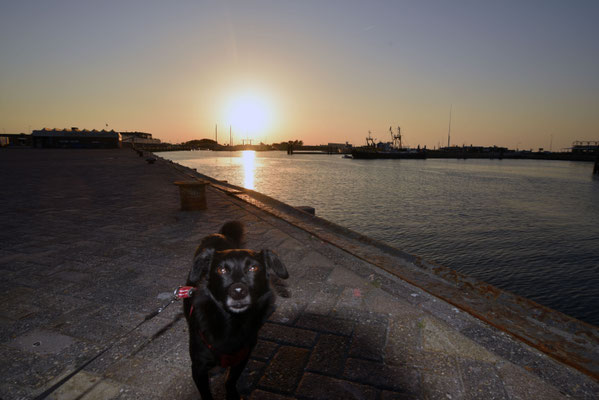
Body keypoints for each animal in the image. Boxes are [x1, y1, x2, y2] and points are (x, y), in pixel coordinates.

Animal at [183, 222, 288, 400]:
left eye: (254, 268)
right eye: (221, 270)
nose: (238, 291)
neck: (233, 323)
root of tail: (219, 234)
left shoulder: (242, 357)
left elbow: (230, 381)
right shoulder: (198, 368)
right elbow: (206, 394)